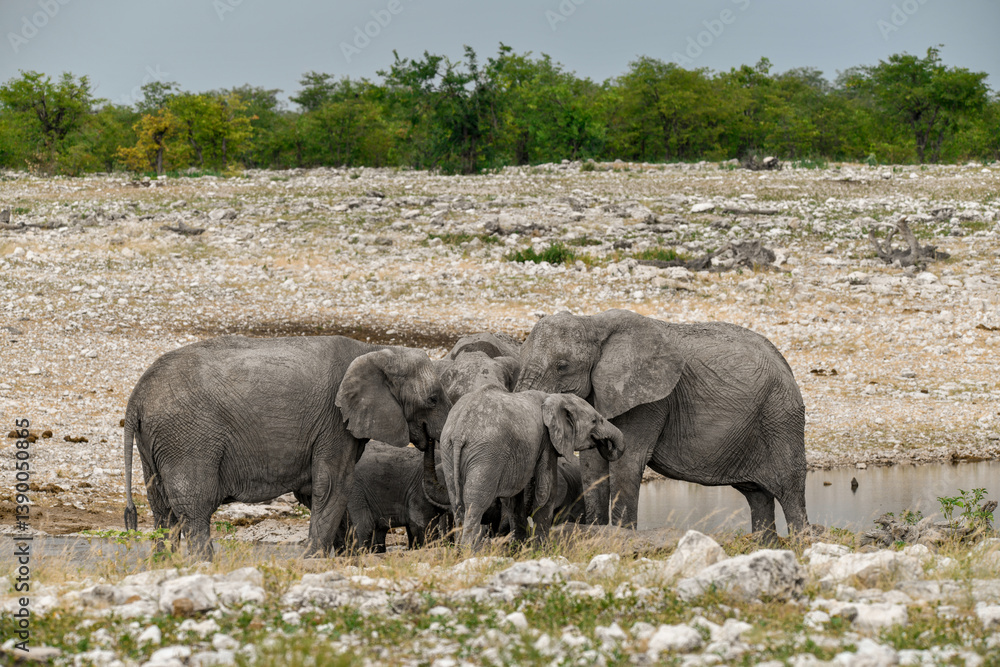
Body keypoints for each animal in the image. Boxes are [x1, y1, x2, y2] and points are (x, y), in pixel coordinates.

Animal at [122, 335, 450, 558]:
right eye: (433, 399)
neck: (376, 351)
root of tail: (136, 396)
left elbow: (318, 488)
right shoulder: (333, 422)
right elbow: (333, 485)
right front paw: (314, 559)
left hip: (156, 442)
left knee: (162, 508)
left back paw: (166, 563)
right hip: (189, 439)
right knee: (193, 507)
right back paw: (203, 565)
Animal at [440, 388, 624, 548]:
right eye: (595, 421)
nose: (605, 444)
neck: (554, 397)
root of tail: (459, 433)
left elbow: (515, 499)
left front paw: (518, 549)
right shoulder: (547, 440)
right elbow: (545, 491)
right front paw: (542, 550)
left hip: (448, 451)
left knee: (458, 504)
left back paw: (459, 552)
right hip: (486, 453)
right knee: (475, 504)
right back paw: (471, 552)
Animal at [514, 309, 808, 536]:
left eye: (562, 366)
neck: (592, 322)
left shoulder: (649, 400)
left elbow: (627, 463)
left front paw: (622, 538)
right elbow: (592, 467)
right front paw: (597, 534)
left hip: (781, 417)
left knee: (790, 489)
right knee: (757, 495)